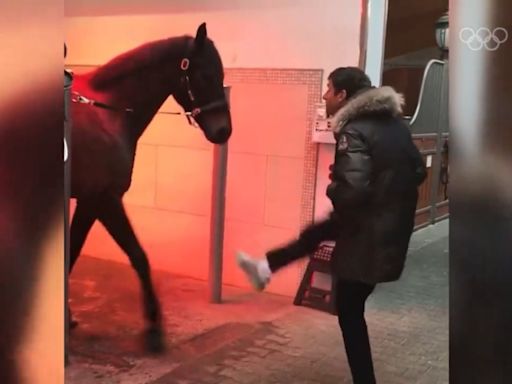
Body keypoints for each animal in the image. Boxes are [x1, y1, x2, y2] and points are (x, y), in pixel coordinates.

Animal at [67, 24, 232, 352]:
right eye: (205, 75)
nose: (224, 131)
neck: (108, 111)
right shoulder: (102, 200)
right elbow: (137, 257)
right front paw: (154, 329)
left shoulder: (89, 203)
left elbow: (76, 254)